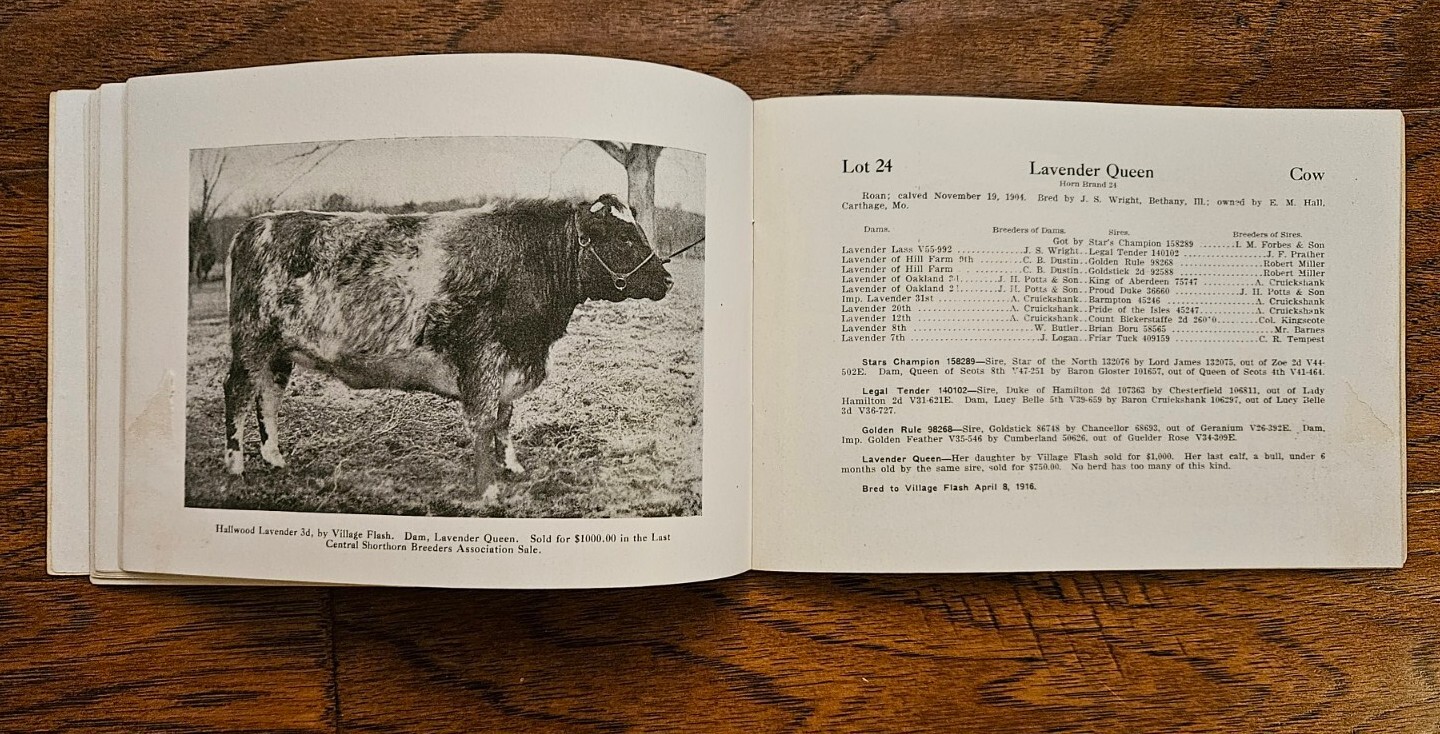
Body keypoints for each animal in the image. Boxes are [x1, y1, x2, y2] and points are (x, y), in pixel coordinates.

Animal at [221, 194, 672, 502]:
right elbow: (484, 421)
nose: (668, 280)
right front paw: (487, 488)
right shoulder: (483, 359)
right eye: (625, 238)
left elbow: (505, 418)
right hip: (251, 341)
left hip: (279, 351)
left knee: (268, 396)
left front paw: (512, 466)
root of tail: (256, 224)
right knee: (238, 394)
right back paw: (235, 467)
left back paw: (274, 458)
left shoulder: (509, 362)